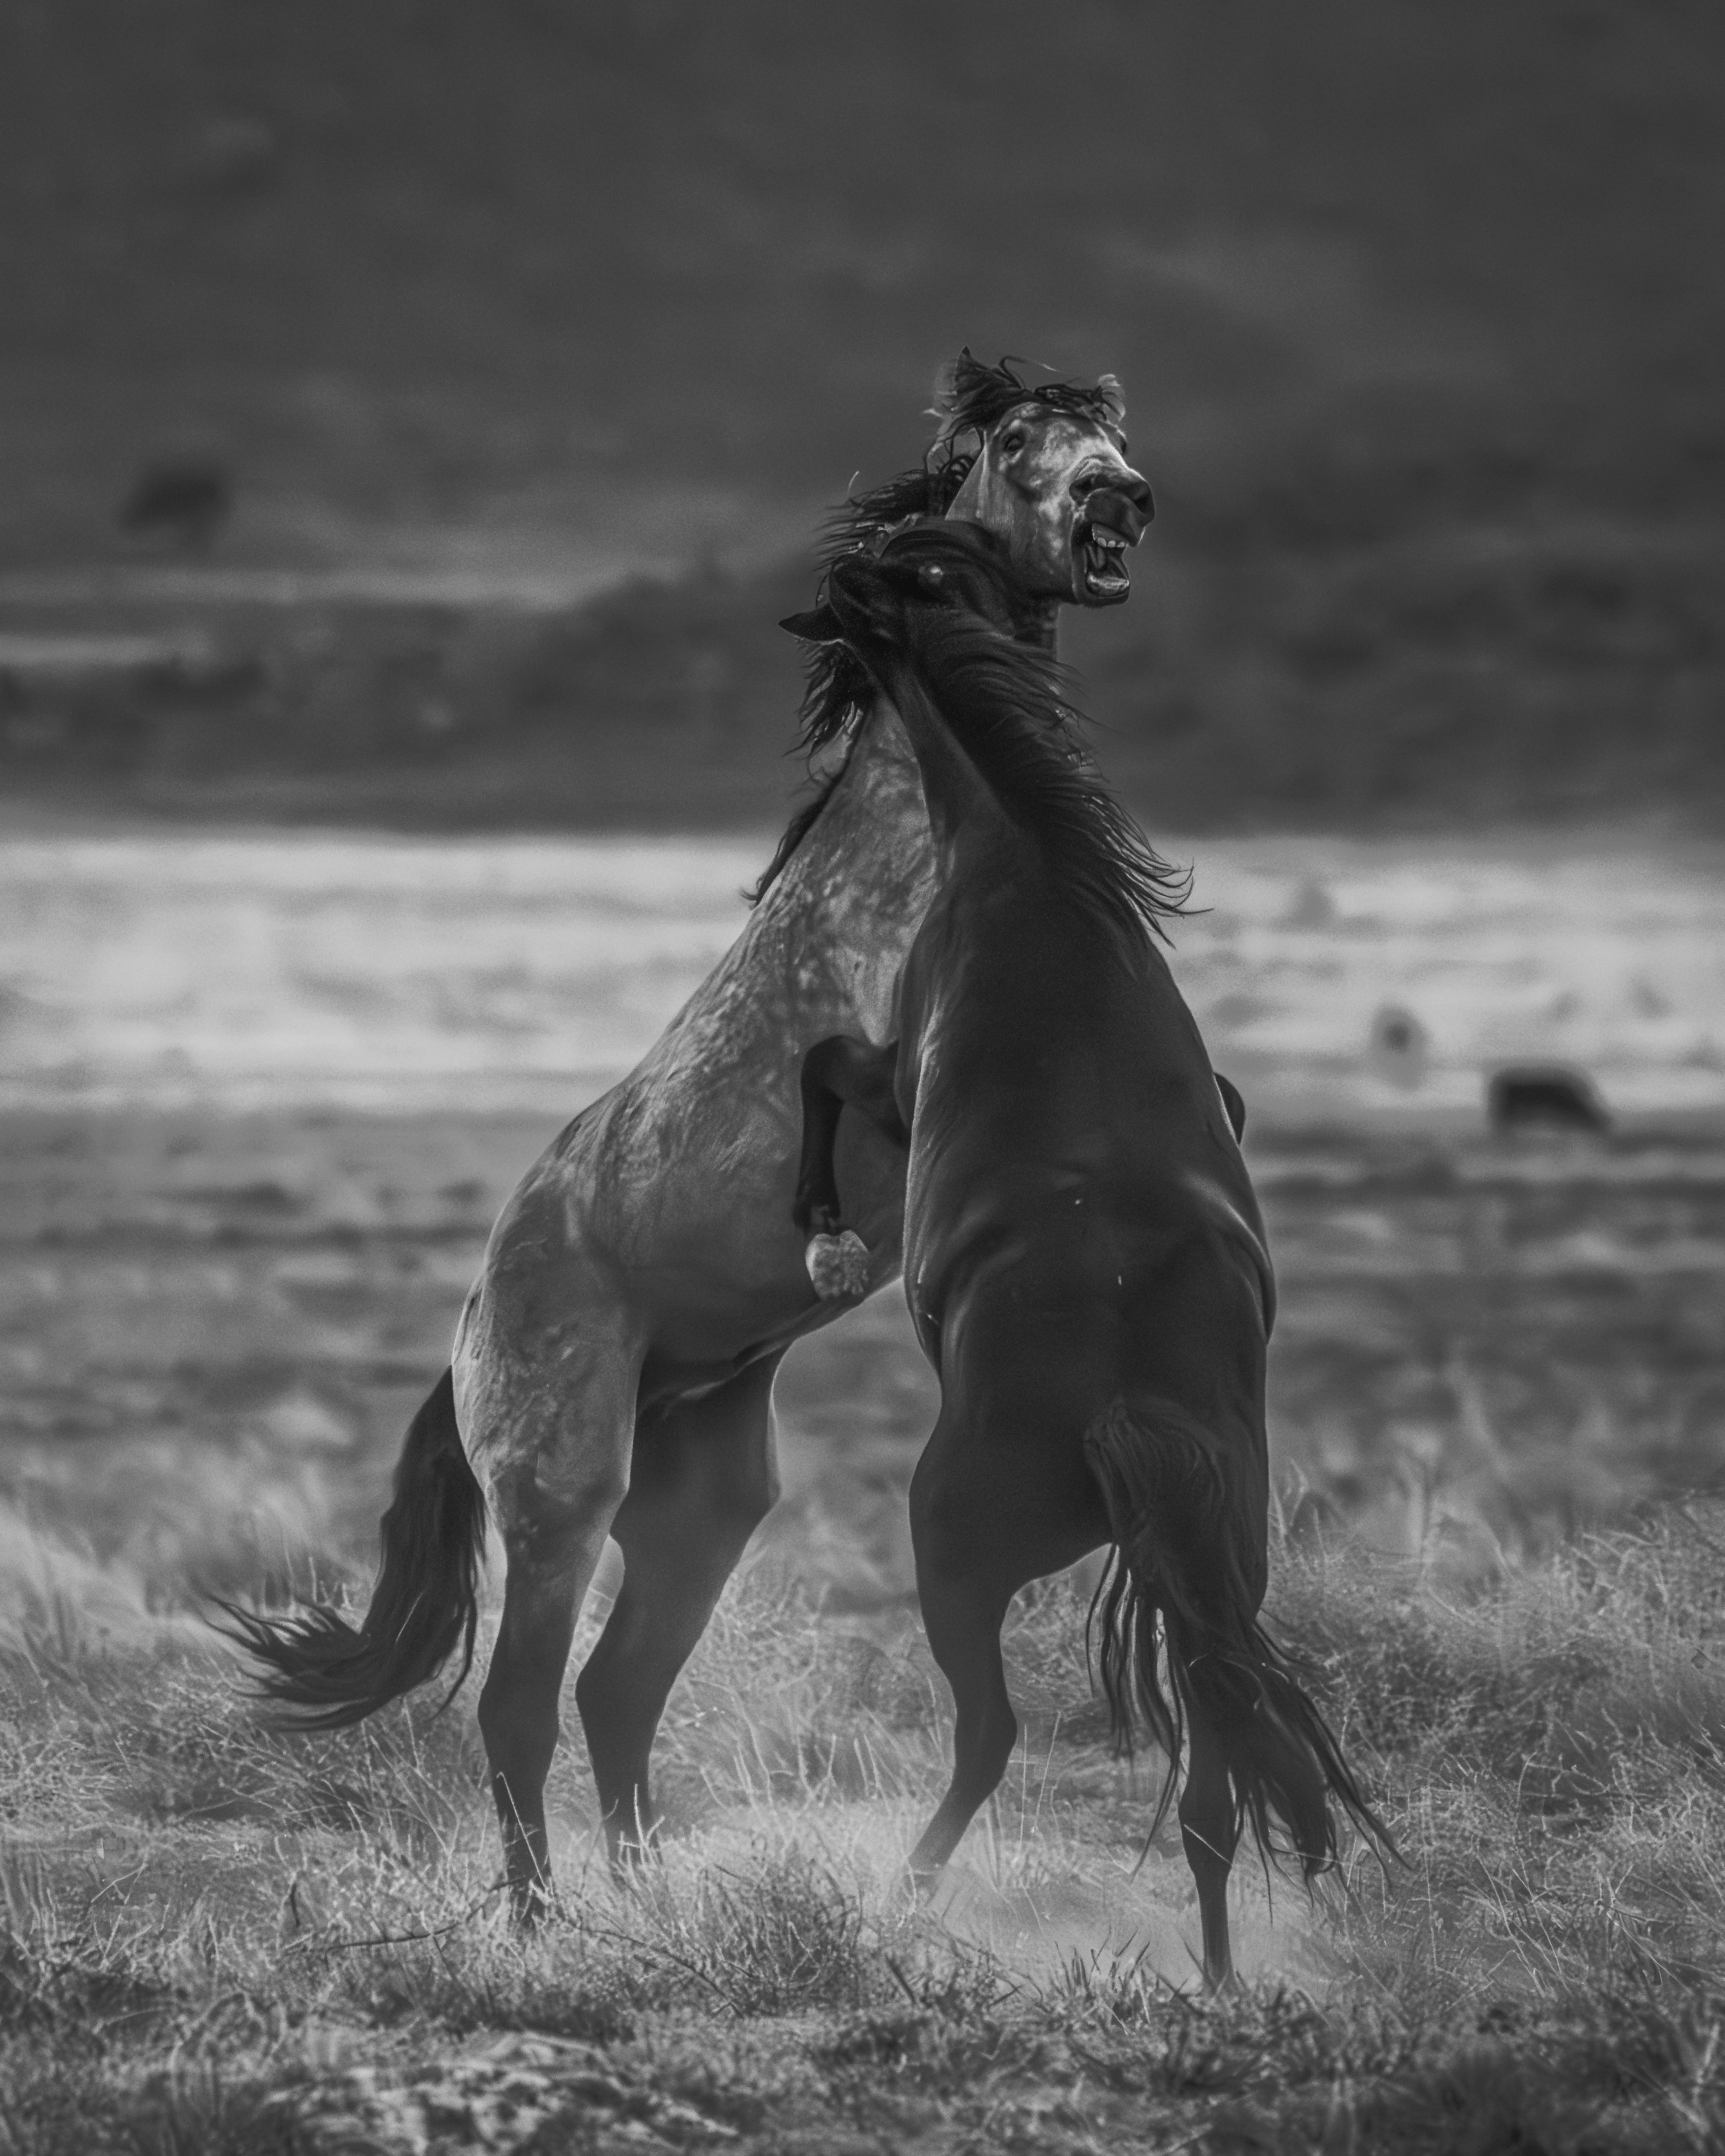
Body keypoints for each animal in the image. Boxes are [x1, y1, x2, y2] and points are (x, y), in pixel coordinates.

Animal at [222, 353, 1160, 1920]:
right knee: (522, 1707)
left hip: (702, 1507)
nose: (1119, 500)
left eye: (1112, 429)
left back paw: (648, 1901)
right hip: (560, 1499)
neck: (937, 824)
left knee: (617, 1692)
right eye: (1023, 439)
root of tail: (473, 1325)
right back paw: (544, 1924)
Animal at [789, 519, 1389, 1992]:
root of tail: (1126, 1407)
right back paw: (1220, 1981)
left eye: (881, 576)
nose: (815, 592)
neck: (1039, 874)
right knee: (1214, 1776)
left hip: (952, 1553)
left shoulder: (898, 1071)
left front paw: (825, 1232)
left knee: (992, 1735)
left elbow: (821, 1063)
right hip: (1218, 1573)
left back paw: (907, 1897)